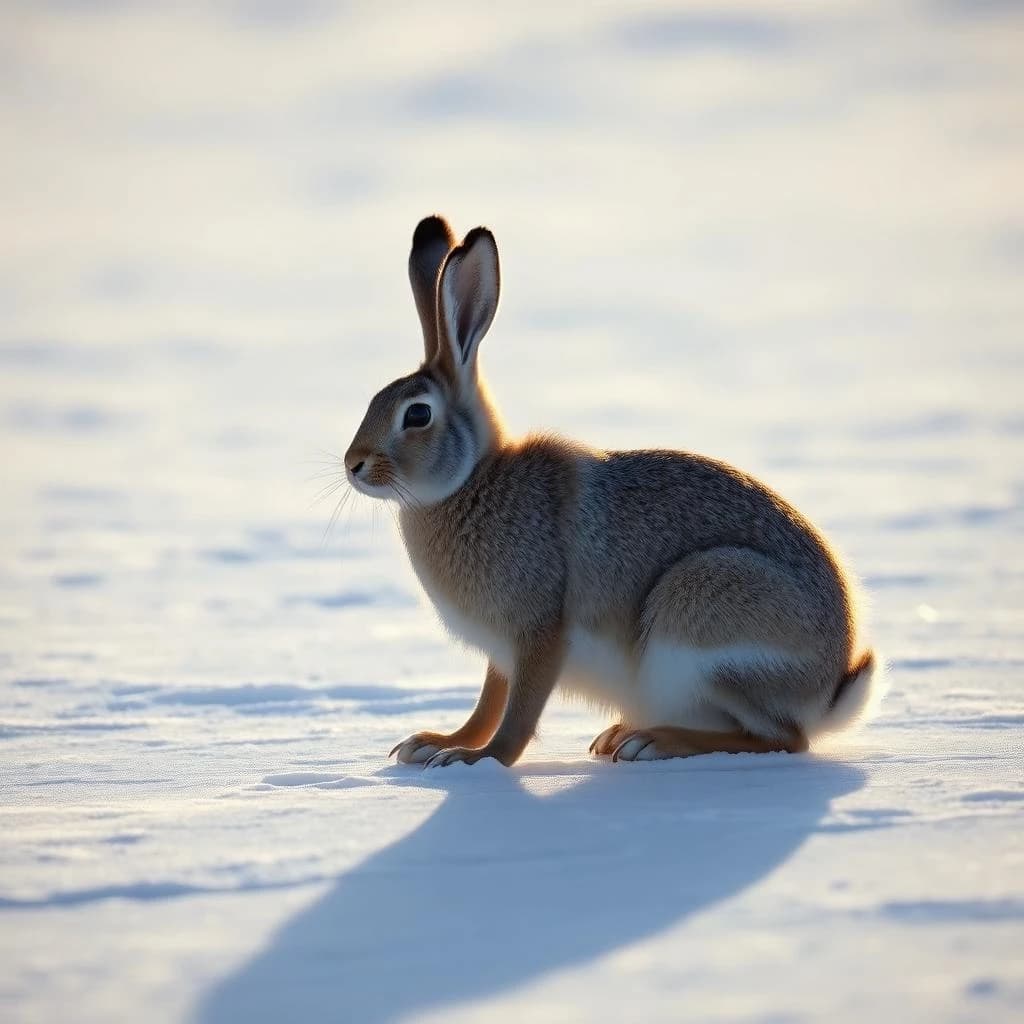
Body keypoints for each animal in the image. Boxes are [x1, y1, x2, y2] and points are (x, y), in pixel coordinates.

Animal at [344, 215, 879, 768]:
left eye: (417, 415)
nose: (353, 465)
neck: (471, 479)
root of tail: (828, 691)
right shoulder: (501, 651)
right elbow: (488, 705)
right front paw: (436, 744)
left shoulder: (540, 633)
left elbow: (518, 714)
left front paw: (479, 760)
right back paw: (621, 736)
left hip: (703, 618)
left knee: (783, 738)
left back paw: (653, 743)